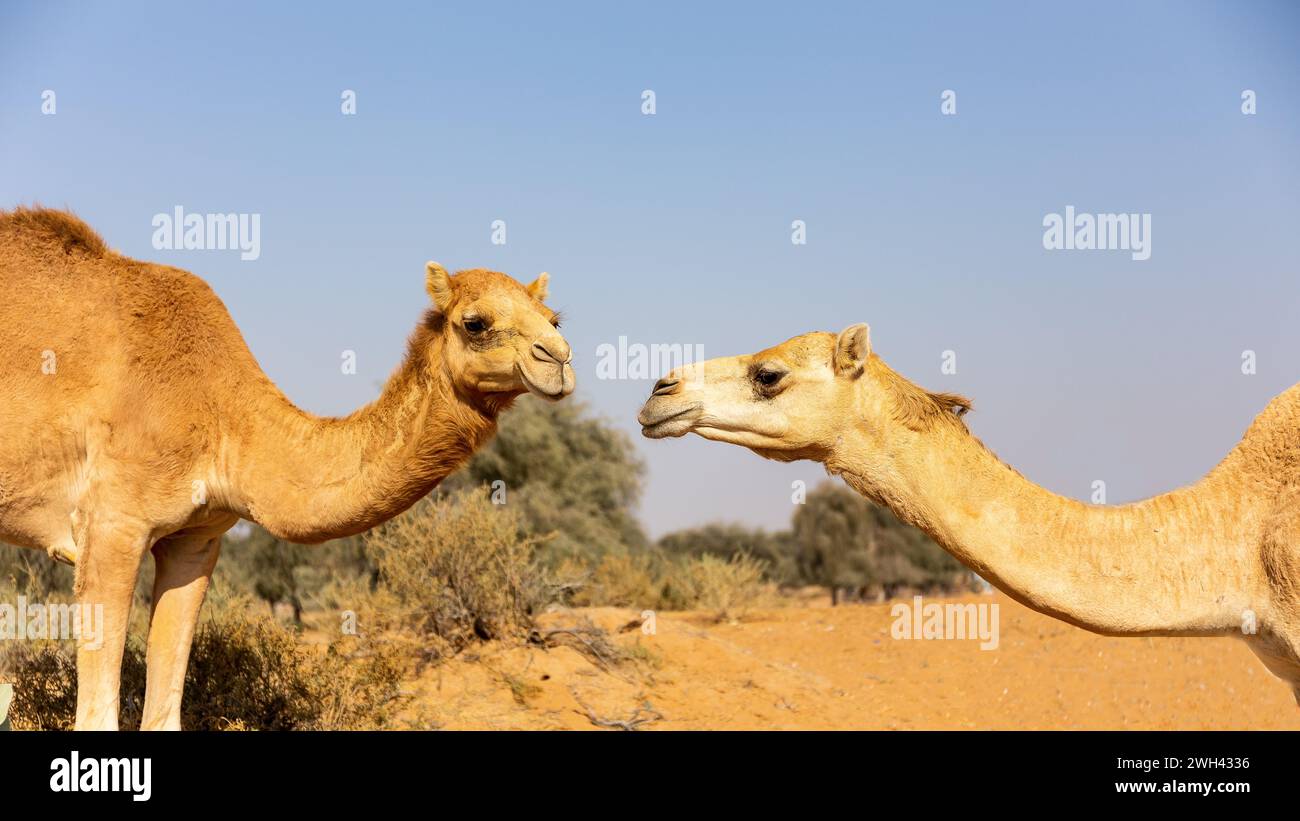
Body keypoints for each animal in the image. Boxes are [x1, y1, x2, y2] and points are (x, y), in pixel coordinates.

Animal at [0, 206, 574, 732]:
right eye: (475, 323)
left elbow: (165, 709)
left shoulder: (197, 537)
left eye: (554, 317)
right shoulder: (111, 525)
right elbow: (97, 714)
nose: (560, 358)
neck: (222, 413)